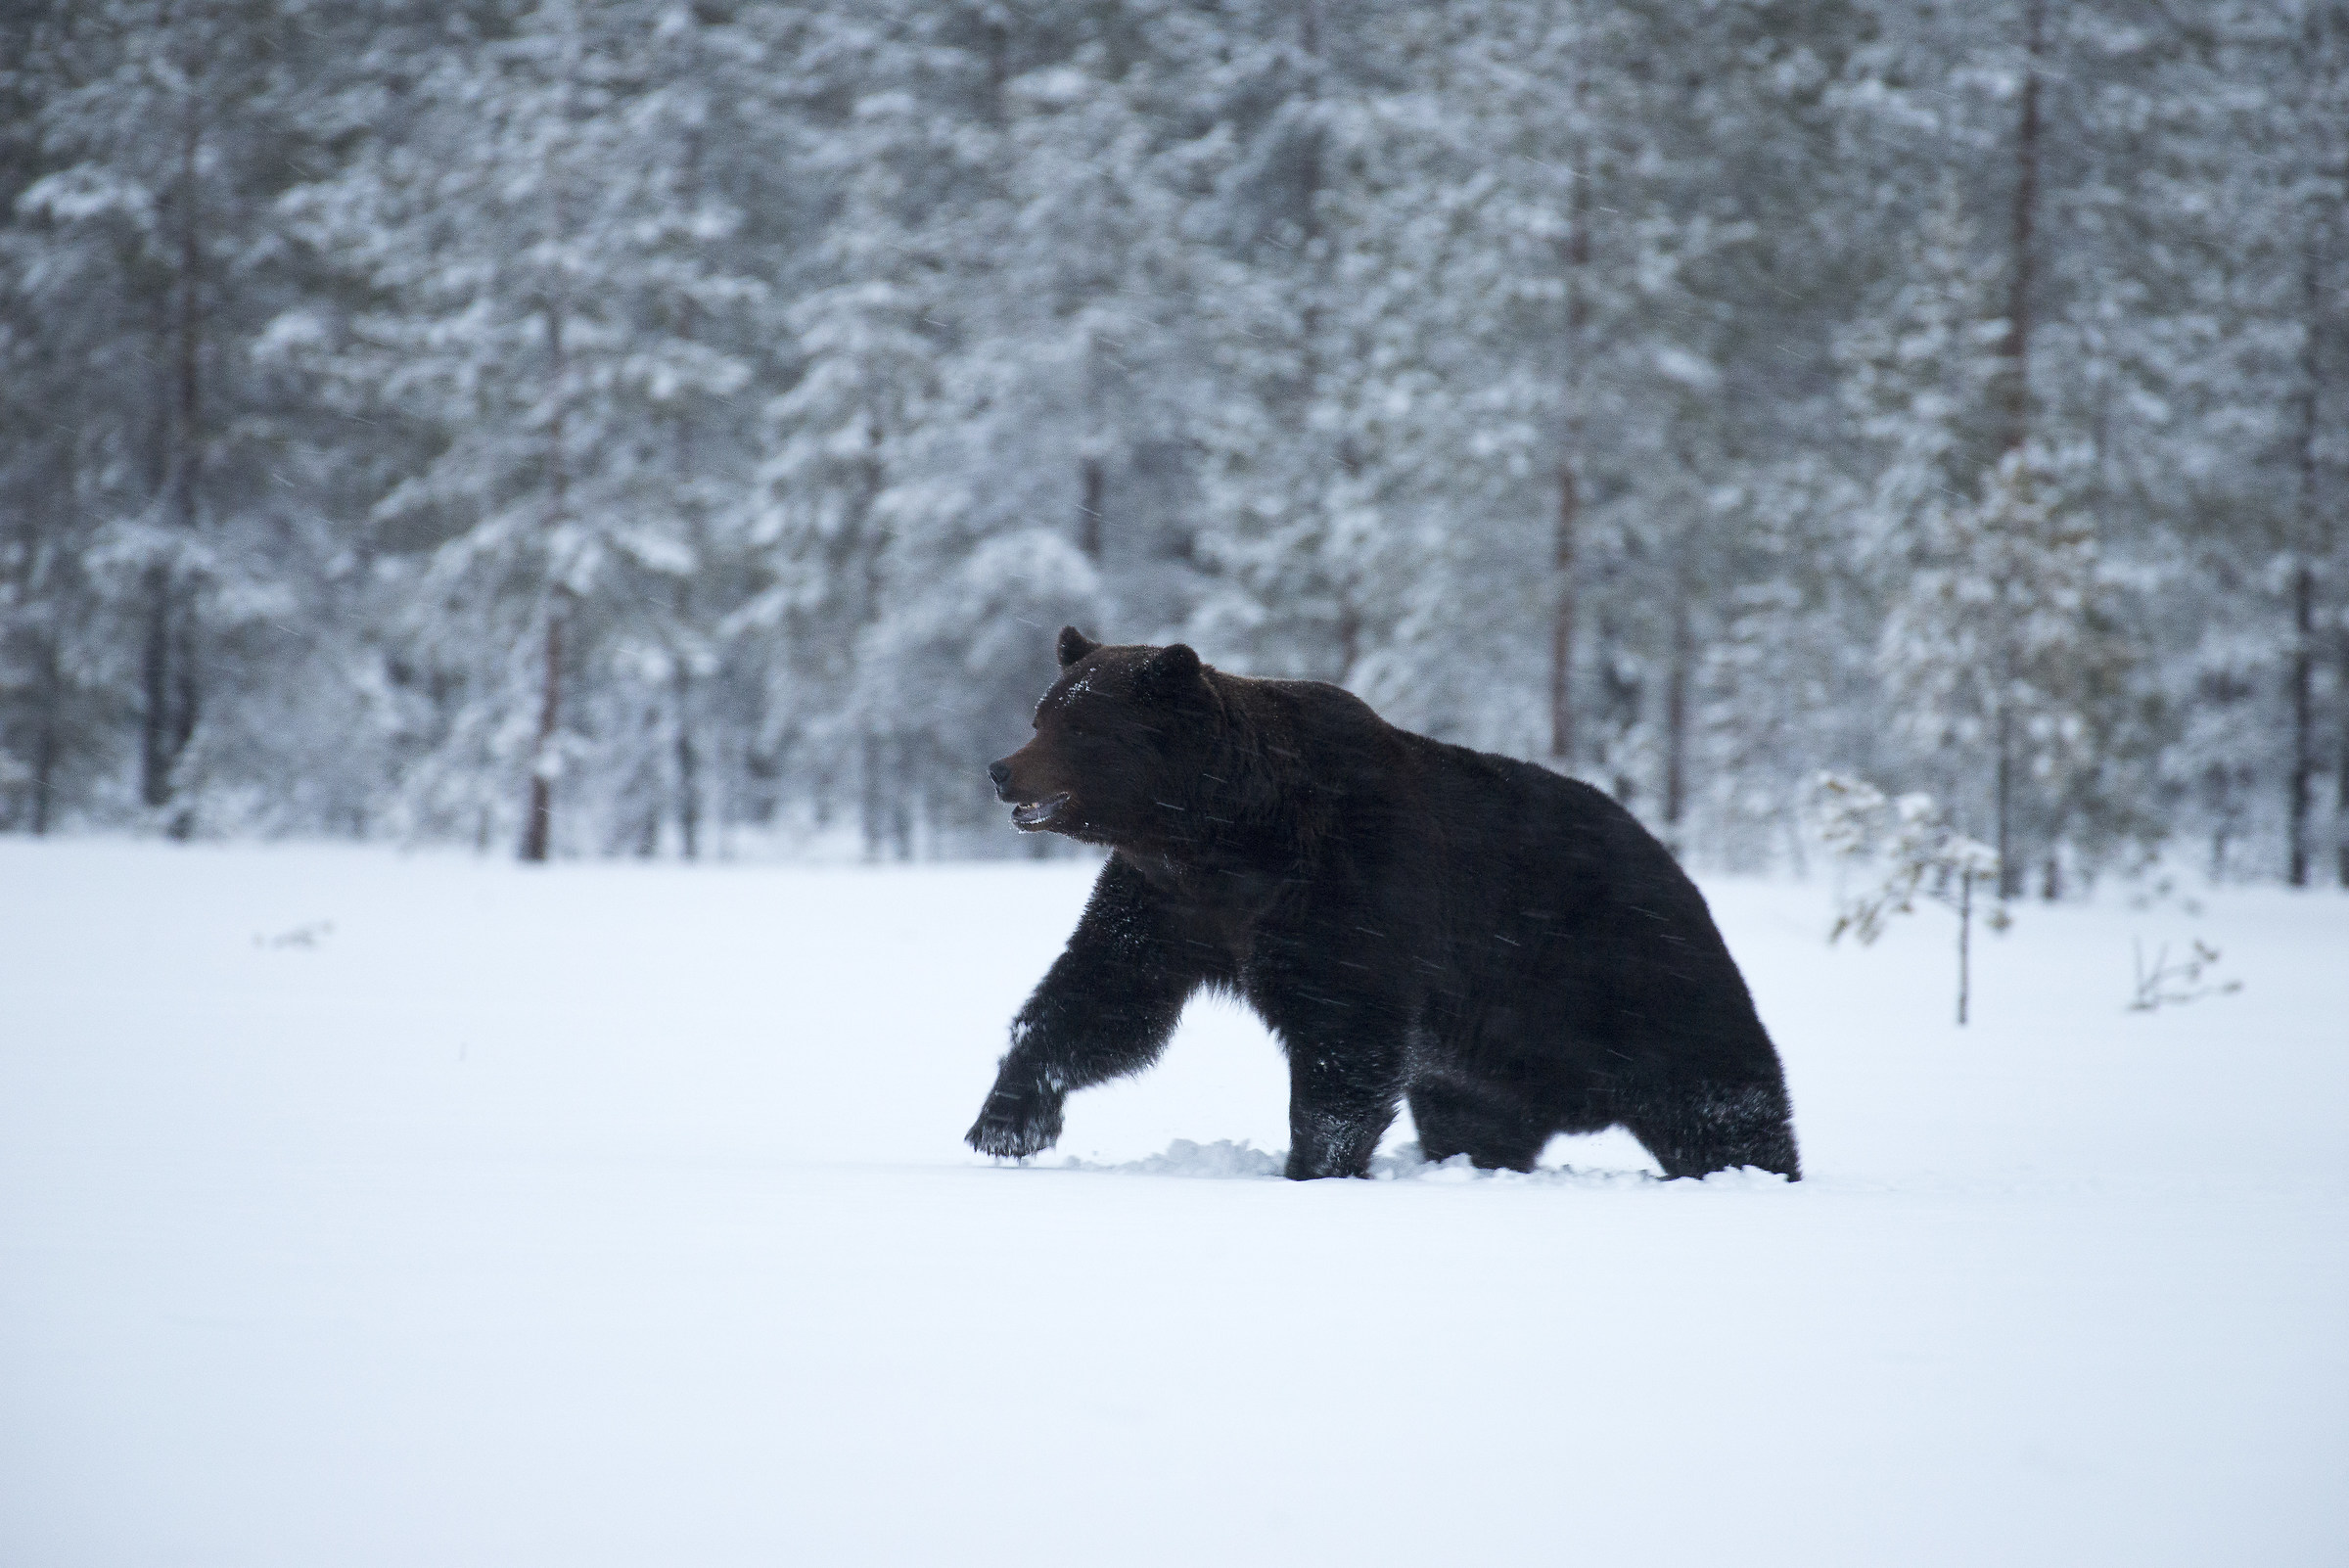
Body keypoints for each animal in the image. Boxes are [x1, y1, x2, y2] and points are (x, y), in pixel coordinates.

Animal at [967, 626, 1800, 1182]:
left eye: (1082, 726)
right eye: (1043, 712)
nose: (1002, 770)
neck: (1226, 840)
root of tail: (1670, 859)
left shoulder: (1348, 889)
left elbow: (1345, 1038)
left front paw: (1312, 1163)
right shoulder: (1167, 904)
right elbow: (1101, 1000)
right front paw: (1004, 1121)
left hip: (1632, 974)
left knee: (1719, 1095)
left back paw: (1756, 1169)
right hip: (1491, 1063)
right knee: (1477, 1121)